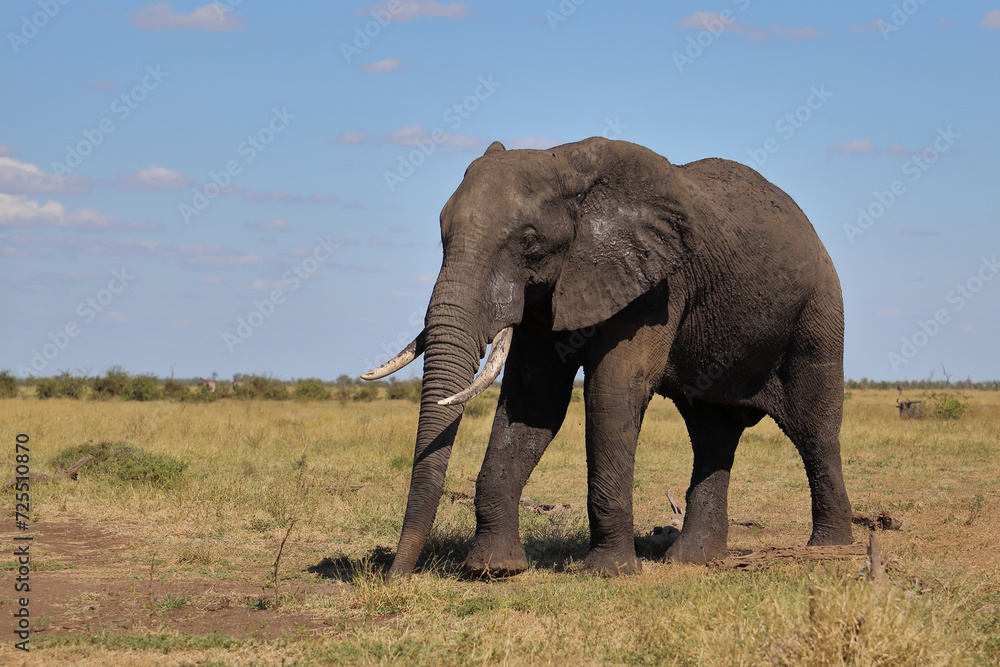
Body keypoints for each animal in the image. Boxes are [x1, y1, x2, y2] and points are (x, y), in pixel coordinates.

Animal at [362, 137, 853, 579]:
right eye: (442, 235)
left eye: (529, 240)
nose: (395, 577)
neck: (565, 164)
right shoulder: (549, 294)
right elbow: (533, 401)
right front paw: (493, 569)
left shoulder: (656, 286)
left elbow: (611, 393)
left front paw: (609, 572)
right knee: (711, 433)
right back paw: (692, 561)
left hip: (819, 312)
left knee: (814, 427)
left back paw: (829, 553)